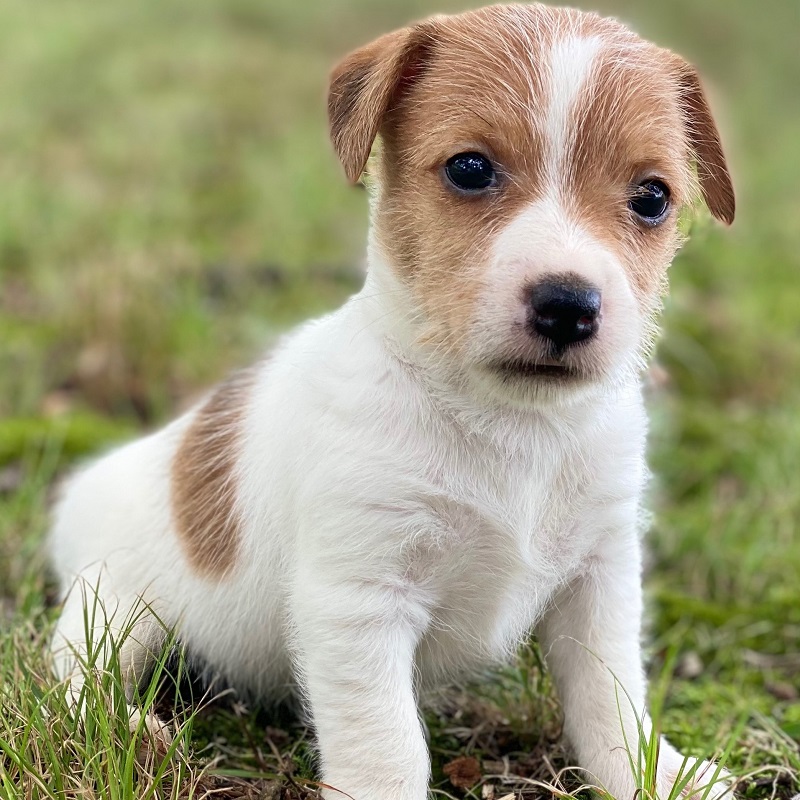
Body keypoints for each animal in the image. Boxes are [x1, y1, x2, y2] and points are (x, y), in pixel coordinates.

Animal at [50, 3, 736, 796]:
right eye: (470, 169)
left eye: (651, 197)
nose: (568, 306)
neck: (509, 423)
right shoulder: (360, 599)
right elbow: (387, 742)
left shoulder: (600, 581)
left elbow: (612, 697)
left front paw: (657, 774)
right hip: (118, 606)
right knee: (70, 674)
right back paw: (128, 730)